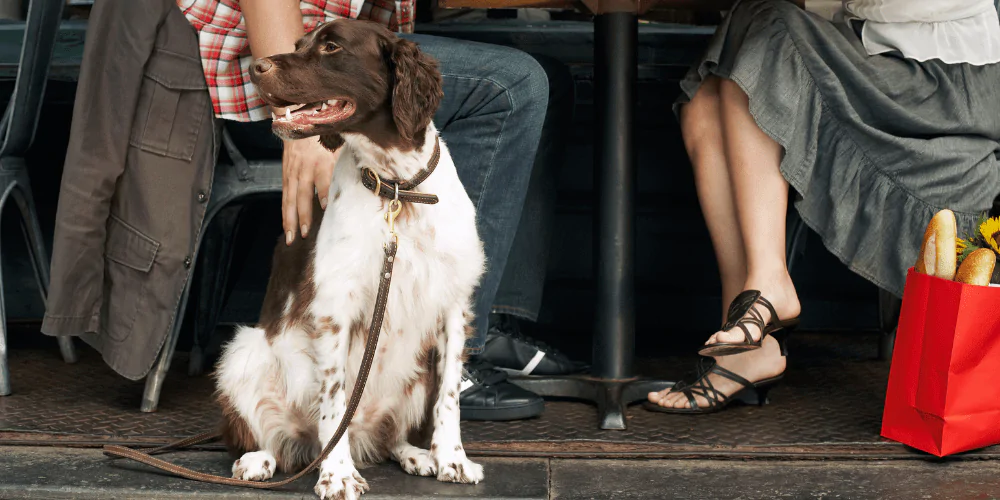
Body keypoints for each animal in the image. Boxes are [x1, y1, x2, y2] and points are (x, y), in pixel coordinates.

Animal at [215, 18, 488, 496]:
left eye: (331, 47)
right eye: (299, 44)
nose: (255, 67)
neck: (398, 188)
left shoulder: (455, 305)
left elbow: (450, 397)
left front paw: (452, 459)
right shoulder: (334, 308)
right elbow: (335, 400)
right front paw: (338, 473)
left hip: (416, 375)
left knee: (388, 439)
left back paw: (416, 455)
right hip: (243, 352)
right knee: (264, 439)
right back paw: (257, 461)